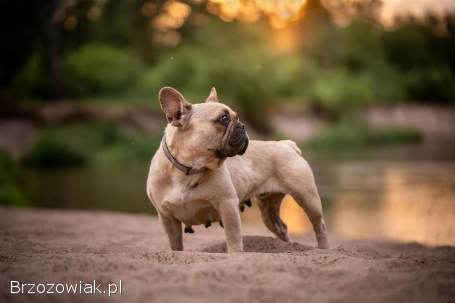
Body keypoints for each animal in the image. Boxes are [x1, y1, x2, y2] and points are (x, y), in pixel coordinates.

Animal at [146, 86, 328, 253]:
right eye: (224, 118)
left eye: (236, 117)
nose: (243, 125)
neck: (189, 168)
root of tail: (286, 144)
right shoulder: (166, 217)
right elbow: (175, 244)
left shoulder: (227, 205)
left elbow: (233, 238)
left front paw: (235, 253)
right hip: (269, 209)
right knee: (281, 227)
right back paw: (288, 247)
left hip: (307, 197)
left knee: (320, 225)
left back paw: (323, 248)